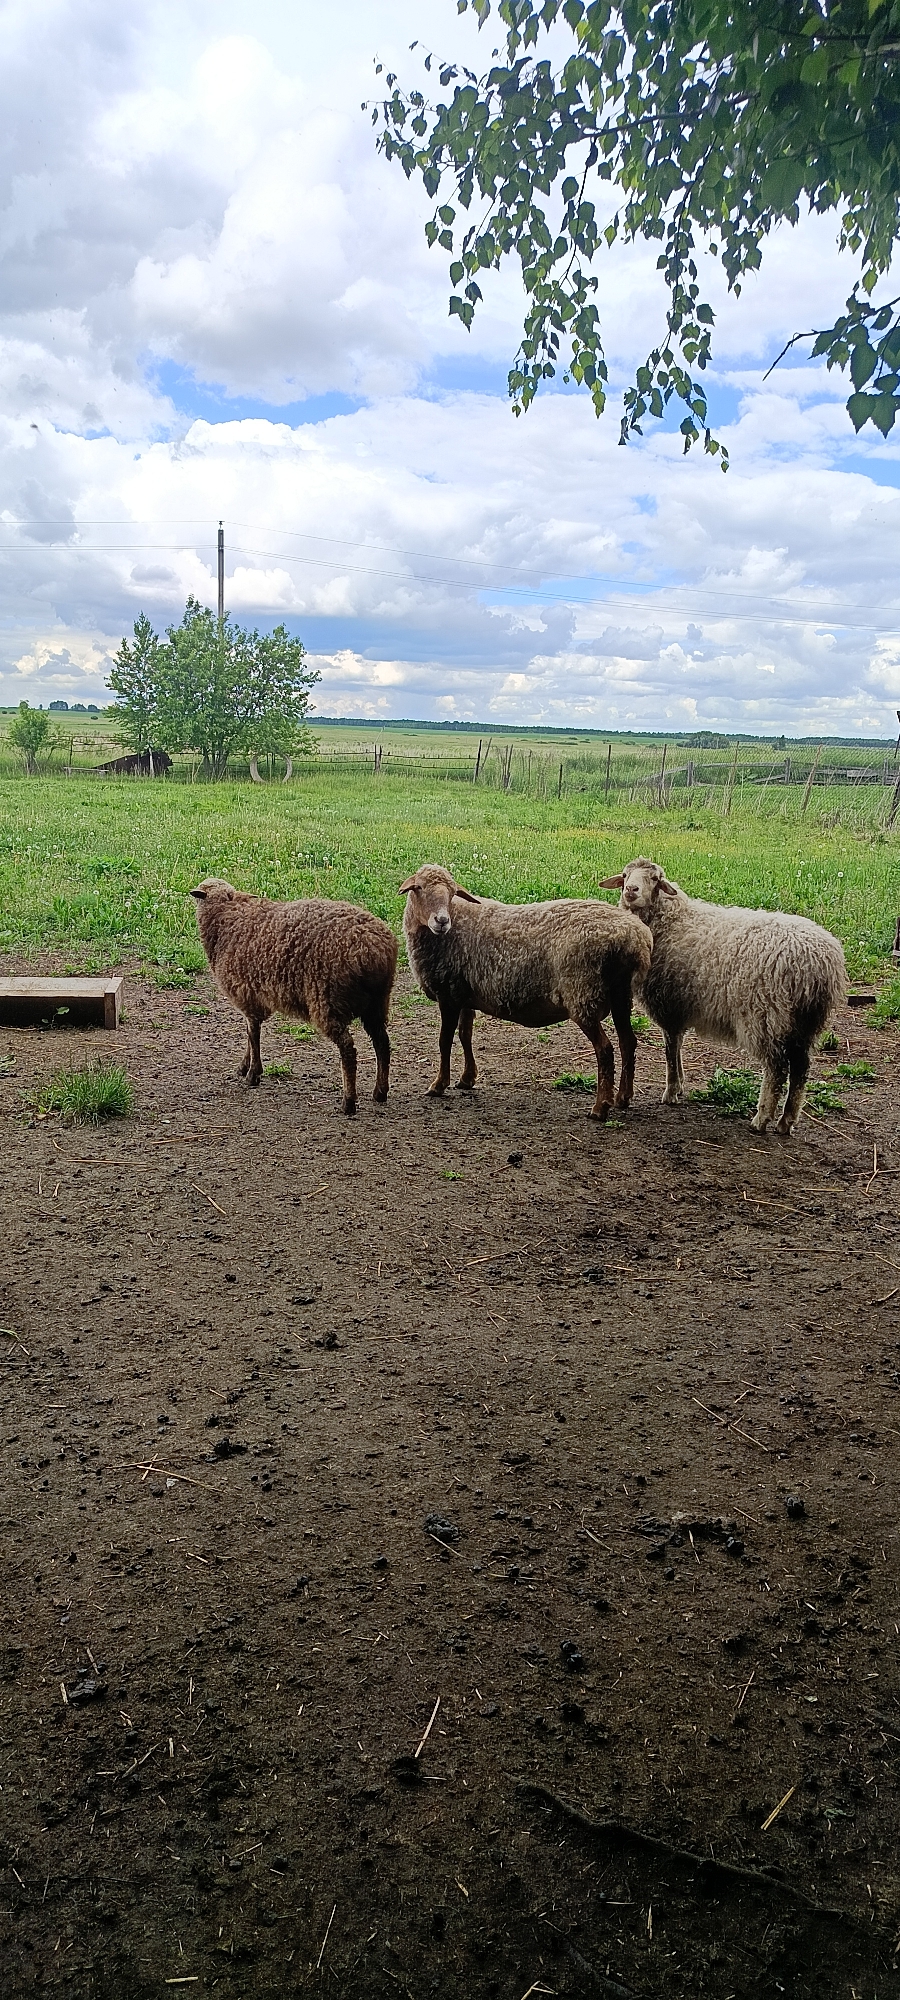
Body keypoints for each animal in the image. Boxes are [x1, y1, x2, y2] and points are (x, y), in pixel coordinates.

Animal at [189, 879, 398, 1115]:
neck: (226, 919)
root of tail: (373, 950)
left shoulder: (246, 995)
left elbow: (253, 1035)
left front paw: (253, 1074)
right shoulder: (253, 999)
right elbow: (250, 1034)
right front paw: (245, 1066)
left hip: (328, 1001)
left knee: (348, 1049)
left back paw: (349, 1102)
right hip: (377, 1002)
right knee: (382, 1043)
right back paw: (380, 1092)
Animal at [400, 863, 653, 1120]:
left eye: (452, 893)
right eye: (419, 888)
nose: (441, 921)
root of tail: (636, 937)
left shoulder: (448, 994)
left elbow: (444, 1041)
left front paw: (438, 1085)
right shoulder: (462, 993)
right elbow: (465, 1035)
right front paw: (467, 1078)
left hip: (583, 994)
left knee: (605, 1050)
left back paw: (600, 1107)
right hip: (620, 993)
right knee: (628, 1042)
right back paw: (623, 1098)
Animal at [598, 858, 846, 1134]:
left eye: (655, 879)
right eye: (624, 875)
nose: (631, 890)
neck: (672, 920)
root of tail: (817, 962)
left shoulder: (668, 1003)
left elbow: (670, 1049)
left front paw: (671, 1092)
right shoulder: (678, 1005)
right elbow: (677, 1048)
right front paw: (680, 1085)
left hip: (765, 1015)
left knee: (777, 1069)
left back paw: (761, 1119)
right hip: (806, 1023)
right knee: (801, 1069)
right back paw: (786, 1121)